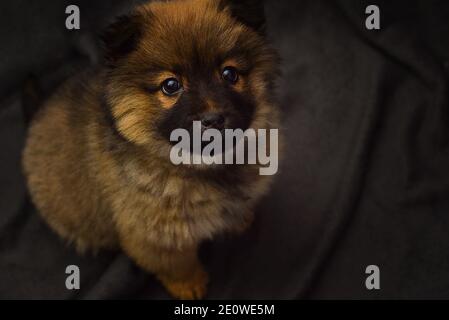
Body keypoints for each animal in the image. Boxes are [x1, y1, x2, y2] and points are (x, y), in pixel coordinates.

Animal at [22, 0, 280, 300]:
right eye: (170, 85)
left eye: (230, 74)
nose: (213, 119)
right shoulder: (156, 237)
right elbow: (177, 264)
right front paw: (189, 284)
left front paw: (240, 218)